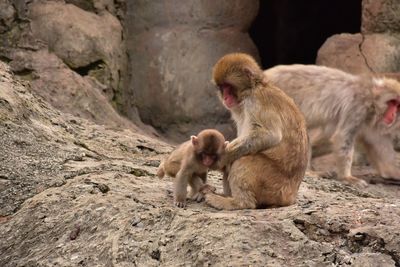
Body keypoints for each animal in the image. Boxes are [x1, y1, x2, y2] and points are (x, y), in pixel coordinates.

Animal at [203, 52, 310, 211]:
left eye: (228, 86)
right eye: (222, 88)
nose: (225, 97)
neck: (251, 89)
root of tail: (290, 198)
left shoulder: (257, 101)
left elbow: (269, 135)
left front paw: (221, 157)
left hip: (274, 186)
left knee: (244, 159)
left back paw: (237, 202)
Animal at [264, 64, 400, 186]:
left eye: (398, 105)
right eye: (392, 102)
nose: (393, 114)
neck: (371, 99)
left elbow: (377, 145)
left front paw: (392, 172)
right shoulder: (356, 107)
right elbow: (342, 137)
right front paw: (347, 177)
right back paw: (307, 172)